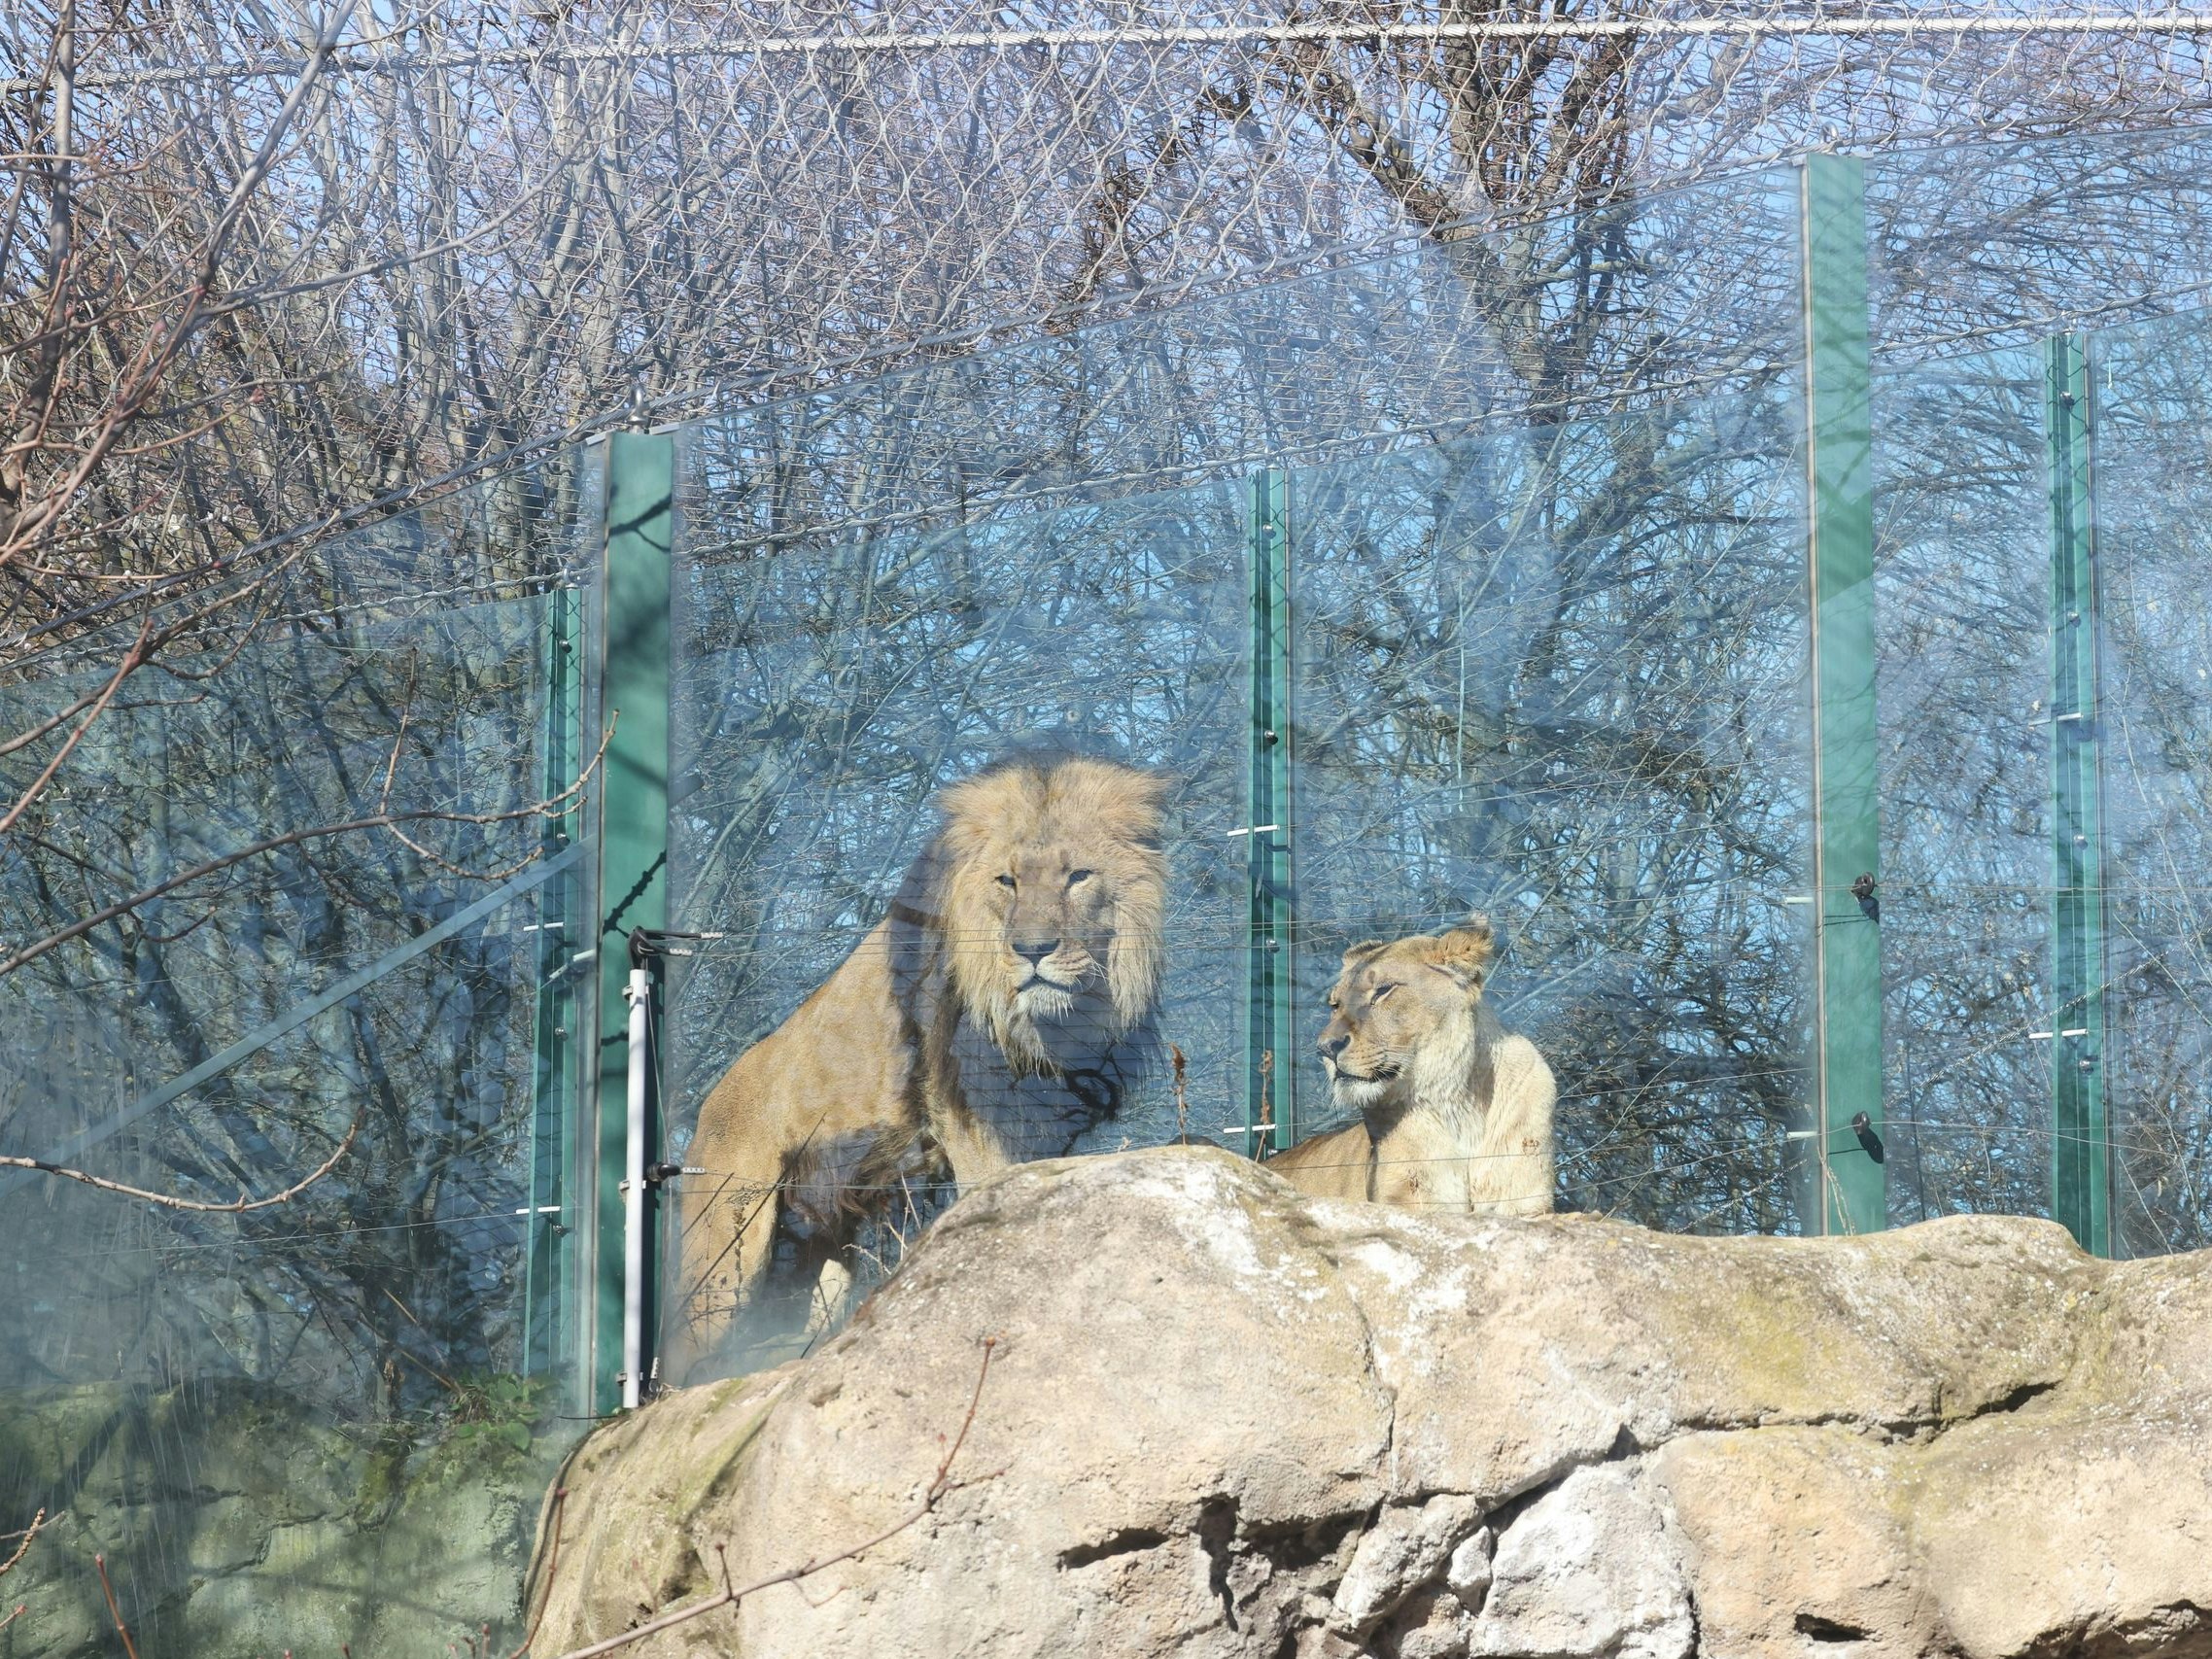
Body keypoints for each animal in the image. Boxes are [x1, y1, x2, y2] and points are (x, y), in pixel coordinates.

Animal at [675, 754, 1168, 1370]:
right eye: (1007, 881)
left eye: (1078, 876)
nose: (1032, 951)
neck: (1056, 1024)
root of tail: (708, 1107)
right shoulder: (972, 1121)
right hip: (729, 1251)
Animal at [1264, 916, 1556, 1215]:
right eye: (1335, 1005)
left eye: (1383, 990)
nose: (1325, 1047)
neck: (1460, 1105)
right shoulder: (1409, 1200)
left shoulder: (1525, 1205)